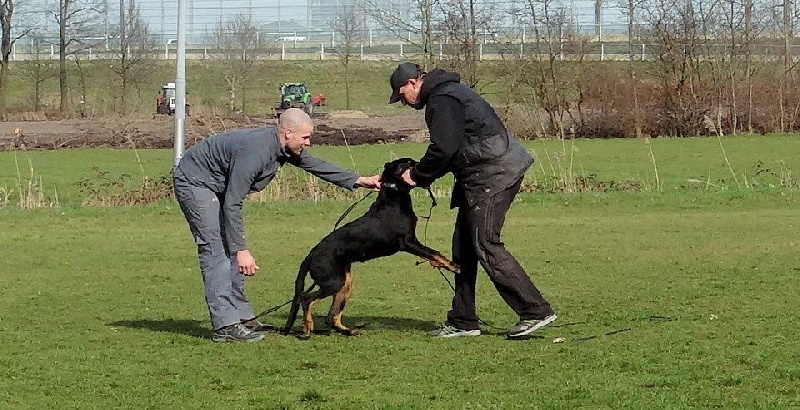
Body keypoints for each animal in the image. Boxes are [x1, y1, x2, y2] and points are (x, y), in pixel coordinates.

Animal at [282, 157, 460, 340]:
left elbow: (432, 254)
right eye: (409, 162)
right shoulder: (408, 242)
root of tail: (310, 256)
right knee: (306, 298)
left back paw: (349, 331)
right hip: (333, 281)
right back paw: (307, 328)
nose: (421, 167)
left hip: (345, 282)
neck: (394, 194)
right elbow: (433, 252)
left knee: (331, 316)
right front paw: (452, 266)